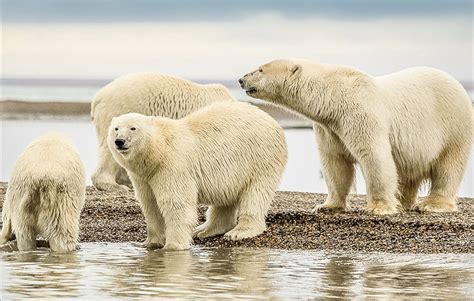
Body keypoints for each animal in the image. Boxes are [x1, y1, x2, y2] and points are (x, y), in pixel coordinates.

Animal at [107, 102, 286, 250]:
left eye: (133, 128)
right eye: (116, 128)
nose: (119, 141)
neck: (157, 152)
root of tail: (272, 120)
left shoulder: (172, 166)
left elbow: (176, 204)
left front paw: (173, 246)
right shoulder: (143, 177)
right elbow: (150, 204)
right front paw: (150, 243)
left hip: (260, 158)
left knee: (255, 194)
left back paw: (238, 232)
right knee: (225, 198)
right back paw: (204, 230)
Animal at [239, 58, 472, 213]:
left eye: (260, 69)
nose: (241, 79)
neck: (333, 96)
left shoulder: (360, 114)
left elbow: (374, 156)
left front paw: (379, 208)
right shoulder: (329, 127)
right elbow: (335, 162)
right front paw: (326, 206)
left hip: (454, 125)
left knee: (449, 165)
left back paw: (433, 204)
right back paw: (404, 201)